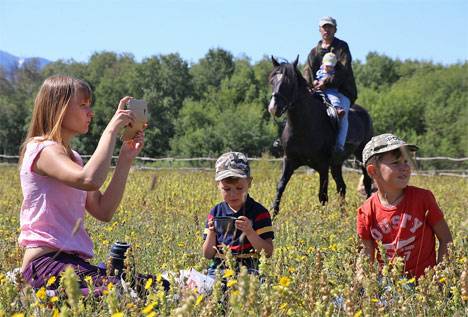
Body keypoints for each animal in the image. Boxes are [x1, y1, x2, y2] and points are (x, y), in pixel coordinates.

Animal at [266, 56, 372, 215]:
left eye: (289, 82)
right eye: (272, 81)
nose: (273, 108)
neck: (304, 126)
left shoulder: (322, 166)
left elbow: (322, 195)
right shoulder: (289, 161)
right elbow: (280, 186)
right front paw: (273, 214)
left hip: (361, 155)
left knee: (367, 182)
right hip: (336, 163)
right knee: (342, 187)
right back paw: (342, 214)